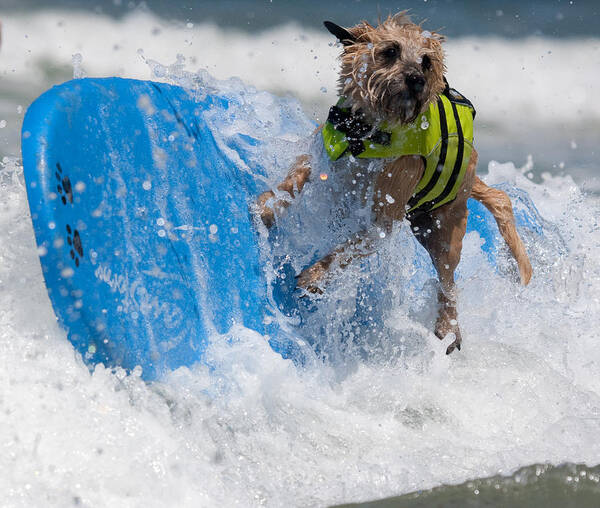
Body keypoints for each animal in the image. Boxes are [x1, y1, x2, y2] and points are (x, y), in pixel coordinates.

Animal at [255, 10, 532, 354]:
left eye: (426, 62)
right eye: (390, 51)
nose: (417, 80)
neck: (366, 134)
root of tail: (471, 166)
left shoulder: (384, 217)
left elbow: (348, 247)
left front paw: (316, 276)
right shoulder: (322, 154)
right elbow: (293, 180)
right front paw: (267, 207)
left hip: (443, 228)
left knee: (448, 281)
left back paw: (448, 327)